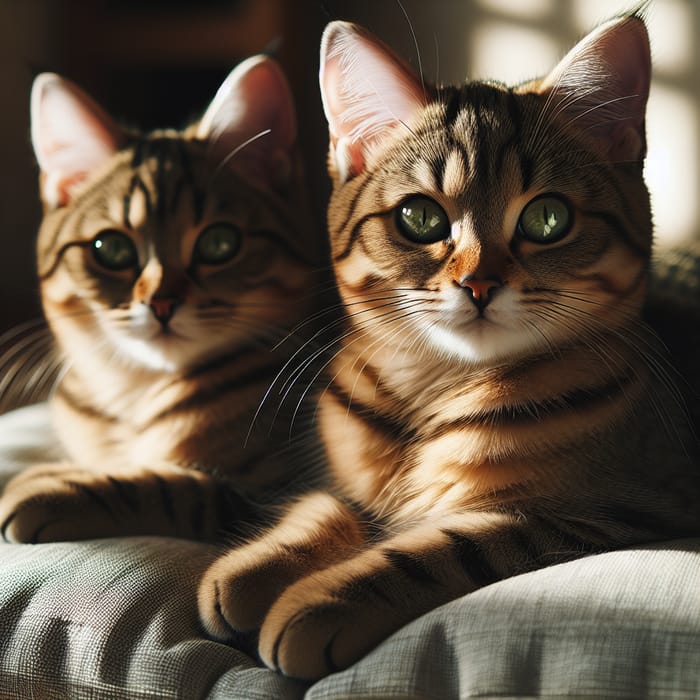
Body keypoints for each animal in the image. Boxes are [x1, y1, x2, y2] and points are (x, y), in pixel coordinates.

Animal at [0, 57, 322, 544]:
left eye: (220, 244)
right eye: (111, 249)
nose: (162, 303)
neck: (134, 395)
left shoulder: (278, 489)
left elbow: (171, 488)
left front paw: (51, 486)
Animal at [197, 9, 700, 680]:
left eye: (548, 219)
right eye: (420, 219)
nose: (478, 285)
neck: (433, 390)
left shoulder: (608, 511)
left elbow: (440, 547)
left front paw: (321, 600)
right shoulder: (346, 481)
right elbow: (324, 504)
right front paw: (252, 567)